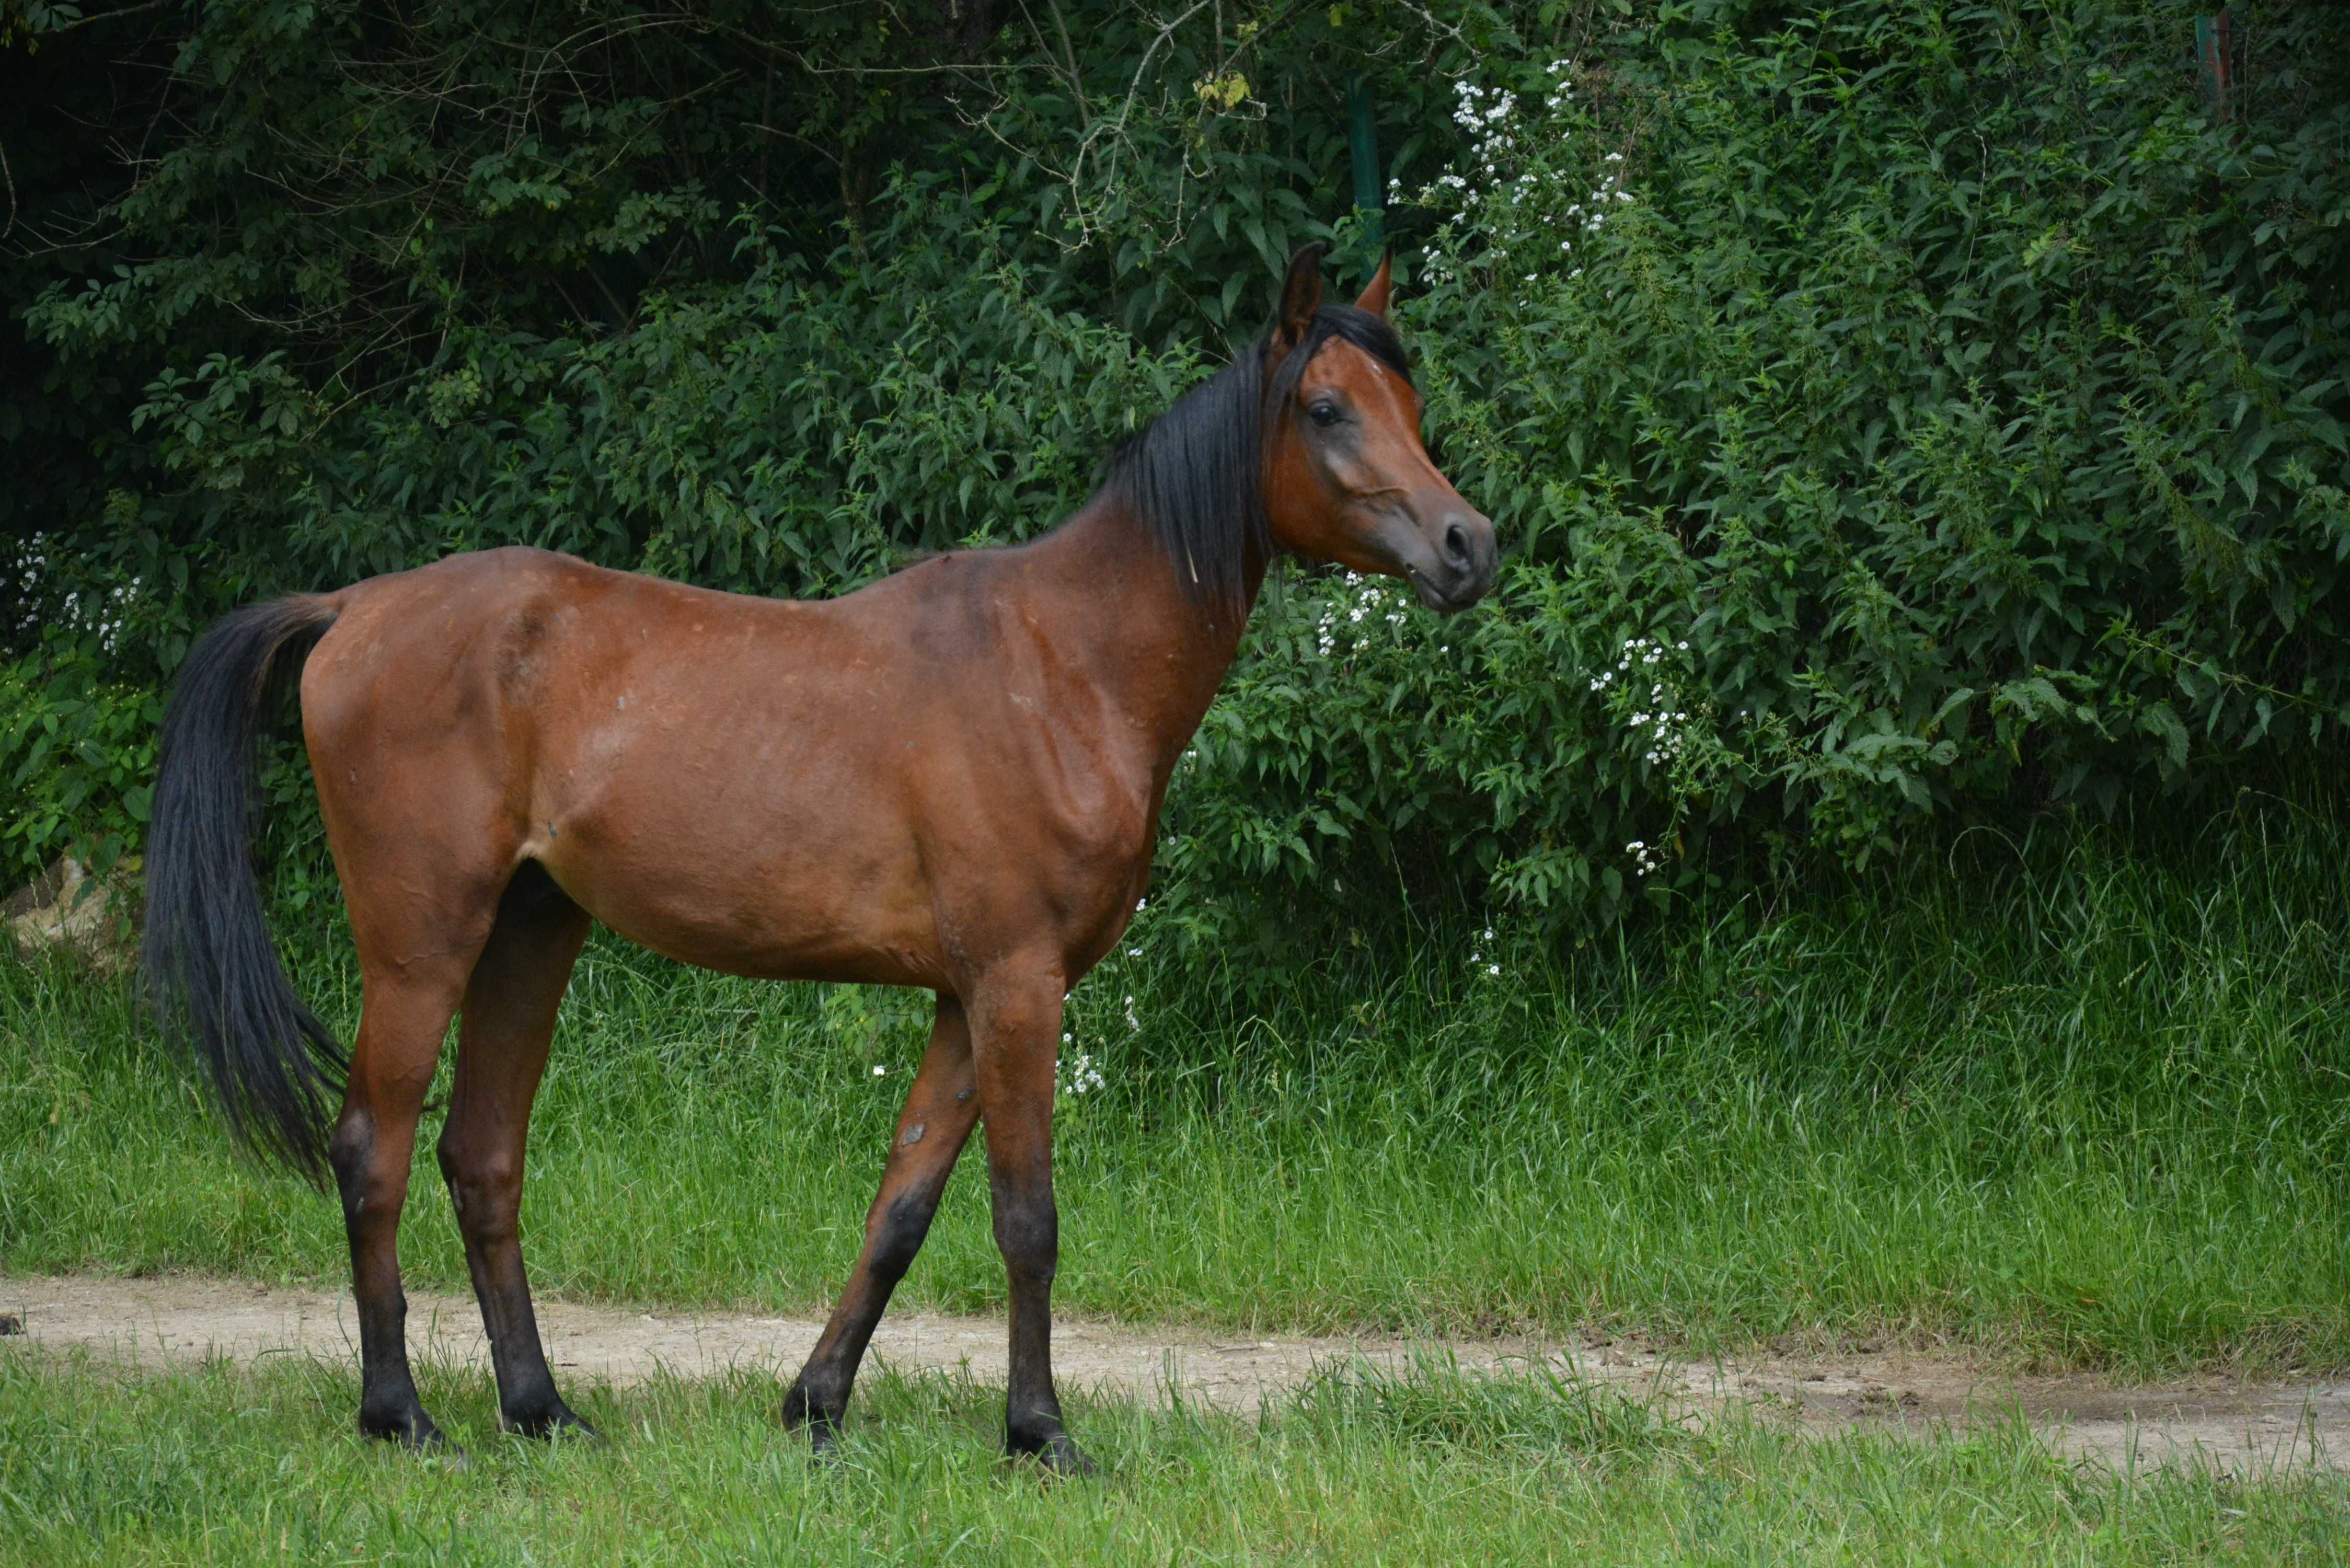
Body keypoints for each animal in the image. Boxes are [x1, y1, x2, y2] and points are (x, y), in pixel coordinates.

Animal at [147, 246, 1494, 1476]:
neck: (1065, 663)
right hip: (423, 947)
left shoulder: (965, 997)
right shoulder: (1017, 985)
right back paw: (402, 1418)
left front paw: (816, 1406)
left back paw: (541, 1411)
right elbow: (1026, 1218)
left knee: (481, 1155)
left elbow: (902, 1208)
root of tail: (353, 608)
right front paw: (1039, 1433)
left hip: (531, 931)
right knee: (370, 1148)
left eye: (1409, 403)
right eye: (1326, 409)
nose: (1468, 544)